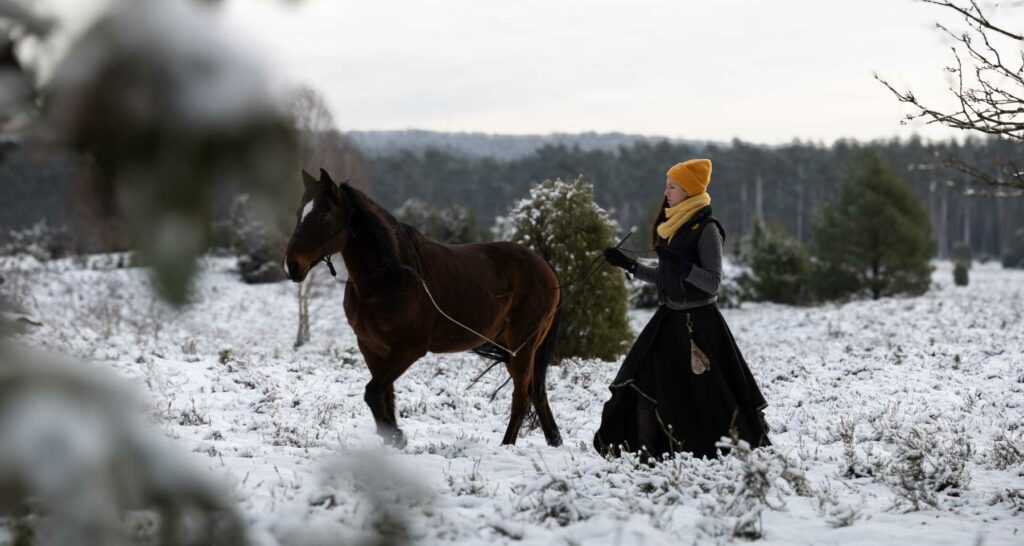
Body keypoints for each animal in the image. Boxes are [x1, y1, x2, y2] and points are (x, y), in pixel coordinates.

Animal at [282, 168, 563, 448]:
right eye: (298, 212)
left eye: (324, 214)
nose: (292, 265)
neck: (389, 276)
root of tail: (547, 269)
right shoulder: (372, 347)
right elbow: (384, 397)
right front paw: (391, 439)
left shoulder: (409, 349)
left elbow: (373, 392)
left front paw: (397, 437)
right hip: (513, 348)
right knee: (536, 394)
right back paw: (554, 441)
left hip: (522, 346)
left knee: (522, 398)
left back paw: (507, 446)